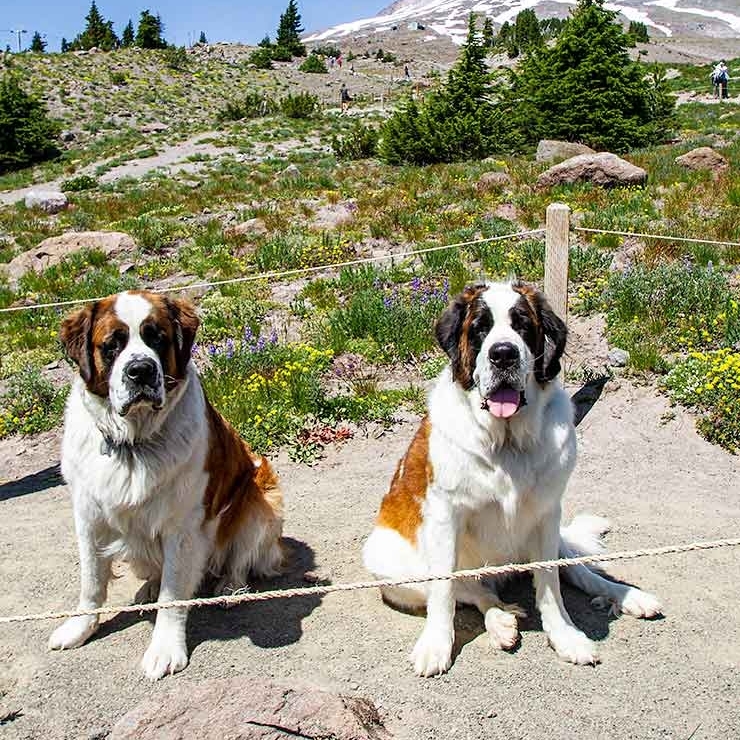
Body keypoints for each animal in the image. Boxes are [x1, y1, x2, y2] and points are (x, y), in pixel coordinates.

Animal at [47, 288, 284, 676]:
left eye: (156, 337)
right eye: (112, 345)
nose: (140, 370)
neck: (134, 443)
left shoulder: (183, 527)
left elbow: (172, 595)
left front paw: (164, 650)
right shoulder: (88, 517)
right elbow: (91, 582)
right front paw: (79, 628)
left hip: (261, 500)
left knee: (239, 559)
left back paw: (230, 588)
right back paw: (148, 588)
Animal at [362, 278, 660, 676]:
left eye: (521, 325)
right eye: (480, 329)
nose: (503, 354)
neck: (506, 440)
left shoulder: (548, 512)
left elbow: (550, 583)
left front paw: (565, 636)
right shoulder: (444, 516)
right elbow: (443, 591)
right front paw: (435, 645)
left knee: (575, 570)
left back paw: (627, 596)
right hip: (386, 560)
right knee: (471, 590)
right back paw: (500, 619)